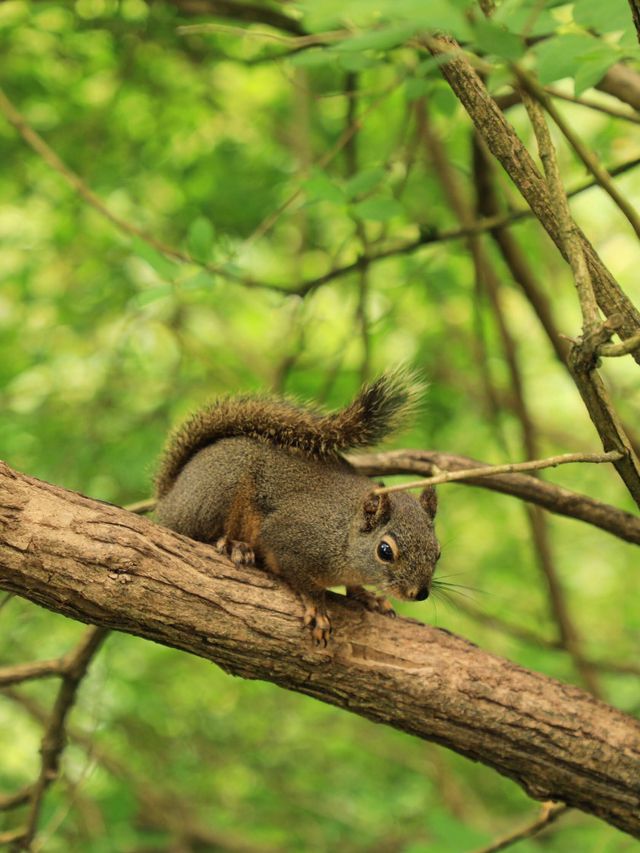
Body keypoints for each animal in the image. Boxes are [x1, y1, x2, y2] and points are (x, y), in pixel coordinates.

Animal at [154, 370, 440, 644]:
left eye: (437, 553)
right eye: (385, 551)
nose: (419, 593)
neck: (344, 535)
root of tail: (170, 497)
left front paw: (368, 597)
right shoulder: (290, 538)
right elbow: (301, 578)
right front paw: (317, 606)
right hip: (218, 491)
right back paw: (234, 545)